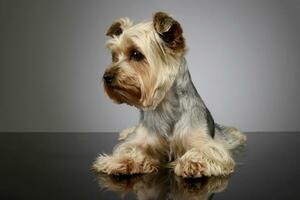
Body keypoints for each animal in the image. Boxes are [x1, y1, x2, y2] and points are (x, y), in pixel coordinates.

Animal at [94, 11, 246, 177]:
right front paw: (120, 161)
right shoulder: (139, 140)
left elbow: (206, 151)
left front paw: (193, 162)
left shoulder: (205, 142)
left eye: (136, 54)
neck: (164, 105)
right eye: (114, 56)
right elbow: (128, 148)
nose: (107, 77)